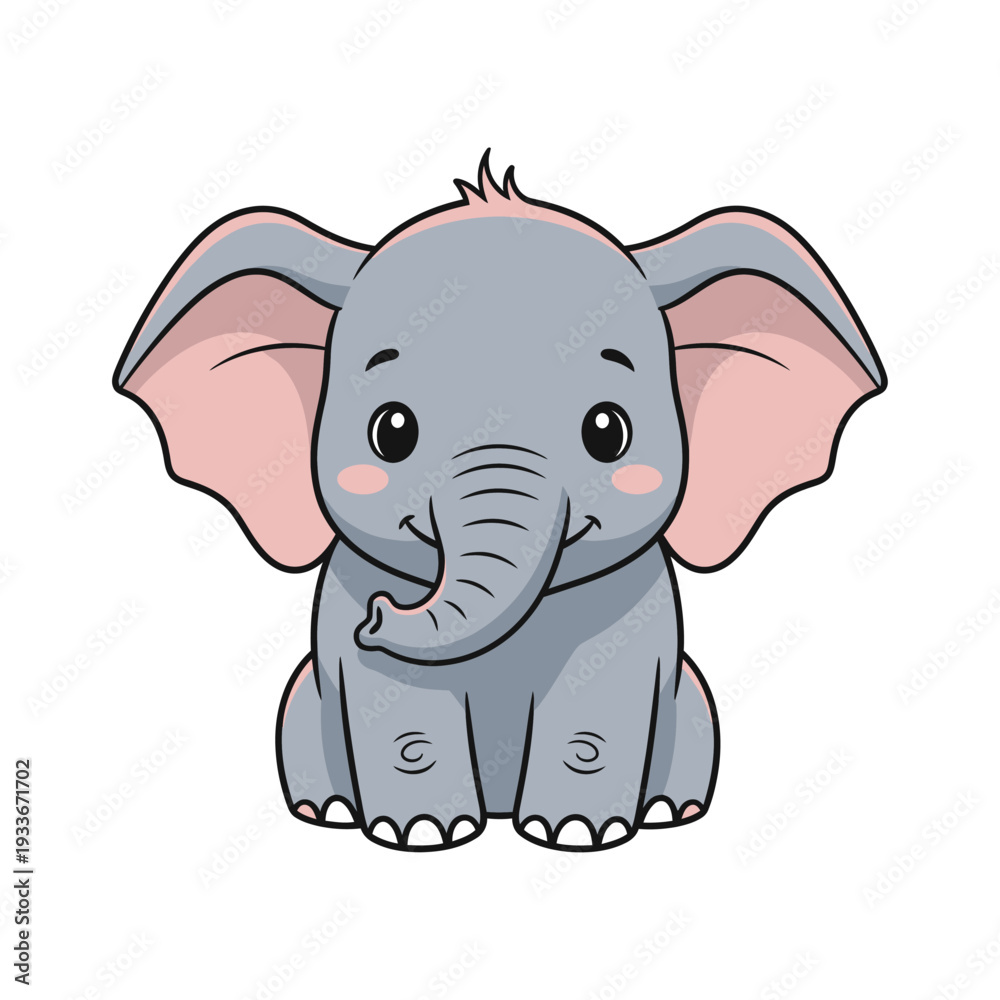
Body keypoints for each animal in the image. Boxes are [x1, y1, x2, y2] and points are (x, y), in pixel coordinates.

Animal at [113, 152, 885, 851]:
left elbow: (595, 711)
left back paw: (670, 812)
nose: (378, 615)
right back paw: (327, 812)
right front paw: (423, 834)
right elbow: (400, 711)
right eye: (391, 431)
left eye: (608, 431)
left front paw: (575, 834)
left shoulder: (630, 614)